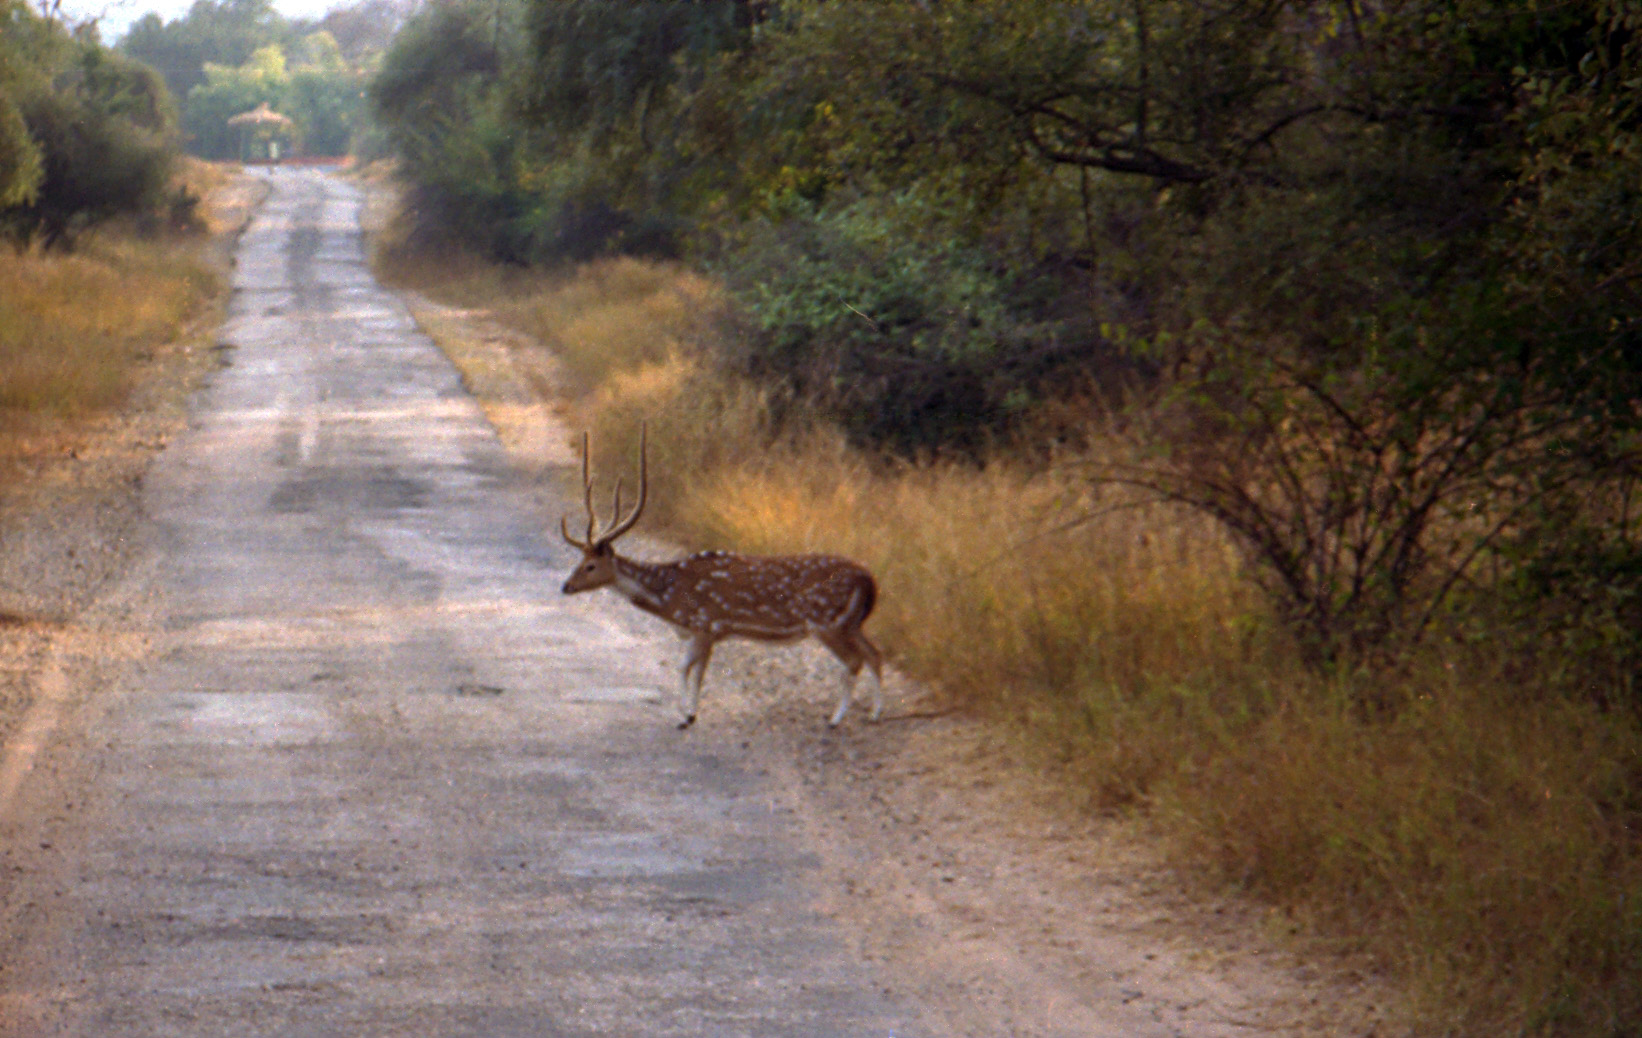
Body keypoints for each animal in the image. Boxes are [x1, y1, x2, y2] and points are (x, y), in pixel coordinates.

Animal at [558, 427, 880, 725]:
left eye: (590, 565)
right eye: (580, 559)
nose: (566, 586)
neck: (671, 599)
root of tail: (869, 579)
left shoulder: (708, 625)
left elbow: (695, 672)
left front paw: (688, 715)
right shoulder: (698, 631)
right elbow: (682, 667)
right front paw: (685, 714)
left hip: (825, 621)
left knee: (854, 661)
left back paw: (836, 719)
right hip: (850, 623)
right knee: (874, 654)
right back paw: (874, 713)